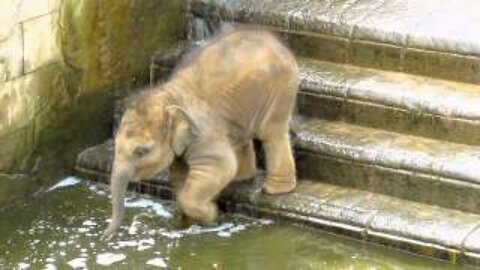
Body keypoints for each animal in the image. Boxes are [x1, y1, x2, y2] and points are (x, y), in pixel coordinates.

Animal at [102, 28, 298, 239]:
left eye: (141, 151)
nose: (105, 237)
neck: (168, 96)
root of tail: (277, 41)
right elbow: (181, 176)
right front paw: (190, 221)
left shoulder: (203, 131)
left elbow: (221, 165)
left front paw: (212, 214)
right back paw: (241, 178)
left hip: (280, 89)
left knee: (272, 133)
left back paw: (275, 190)